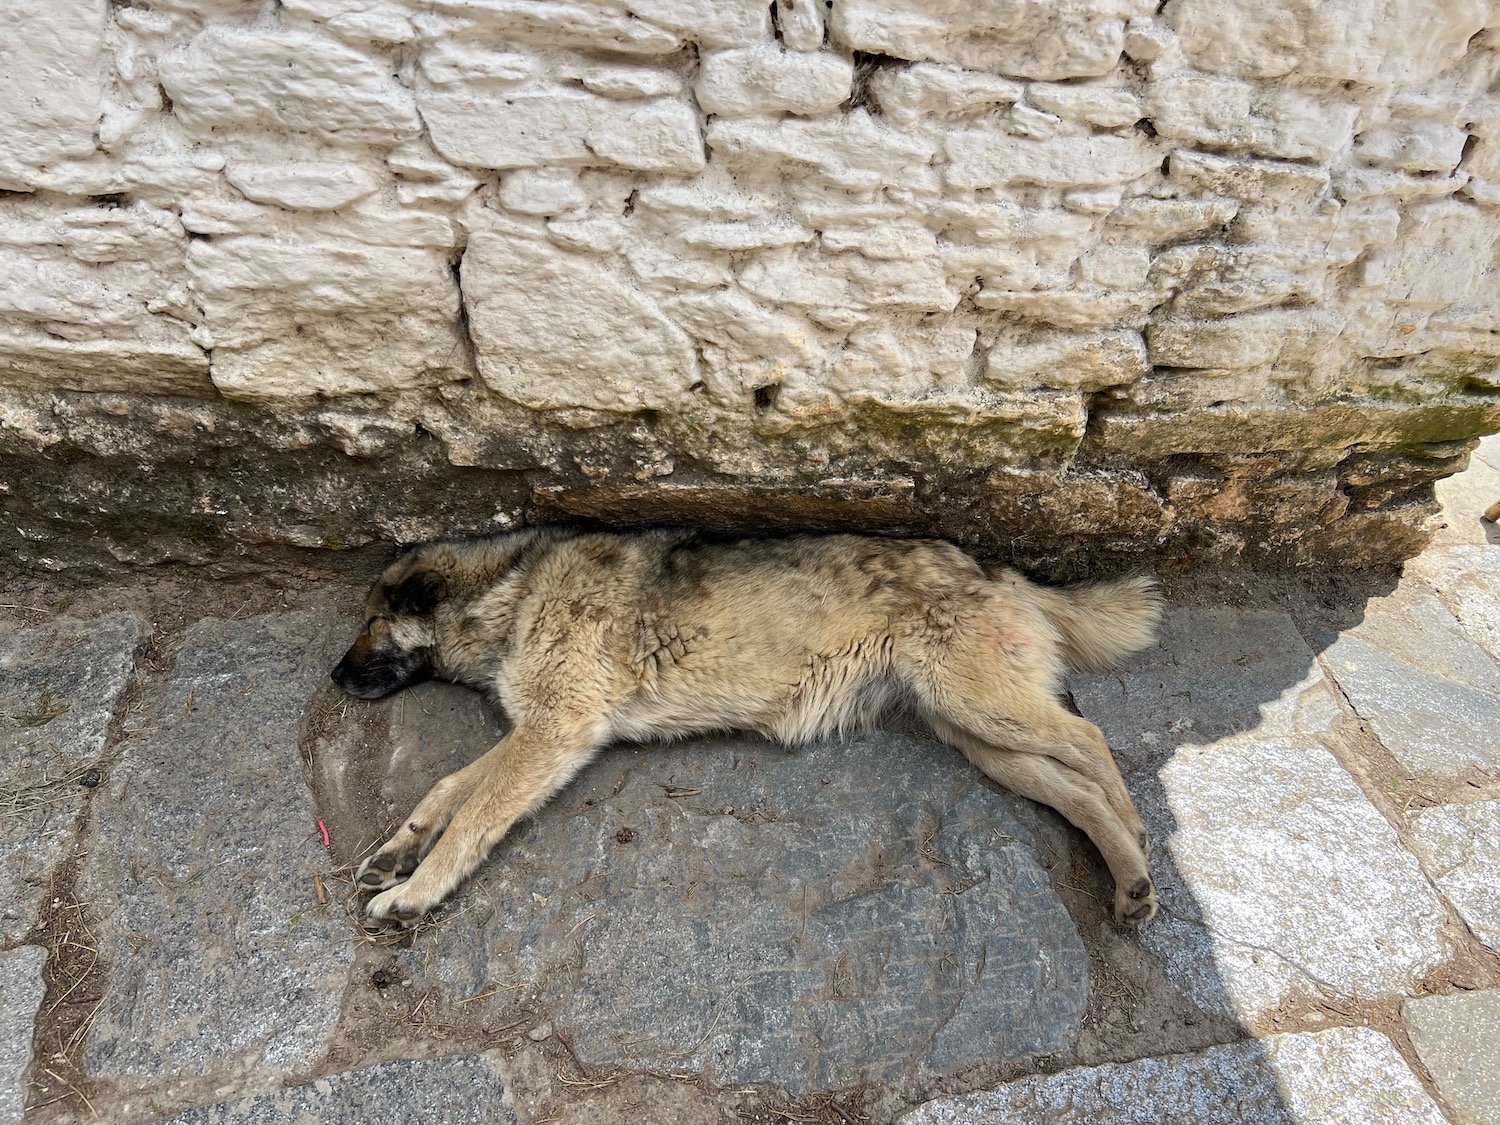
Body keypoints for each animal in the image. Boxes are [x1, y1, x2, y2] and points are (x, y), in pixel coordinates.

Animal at [334, 534, 1164, 930]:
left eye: (371, 621)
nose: (335, 677)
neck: (514, 586)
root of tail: (995, 569)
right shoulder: (538, 732)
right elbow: (448, 787)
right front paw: (399, 849)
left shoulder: (554, 732)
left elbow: (472, 816)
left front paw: (415, 890)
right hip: (977, 735)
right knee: (1074, 788)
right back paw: (1130, 881)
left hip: (978, 703)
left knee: (1091, 741)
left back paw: (1136, 834)